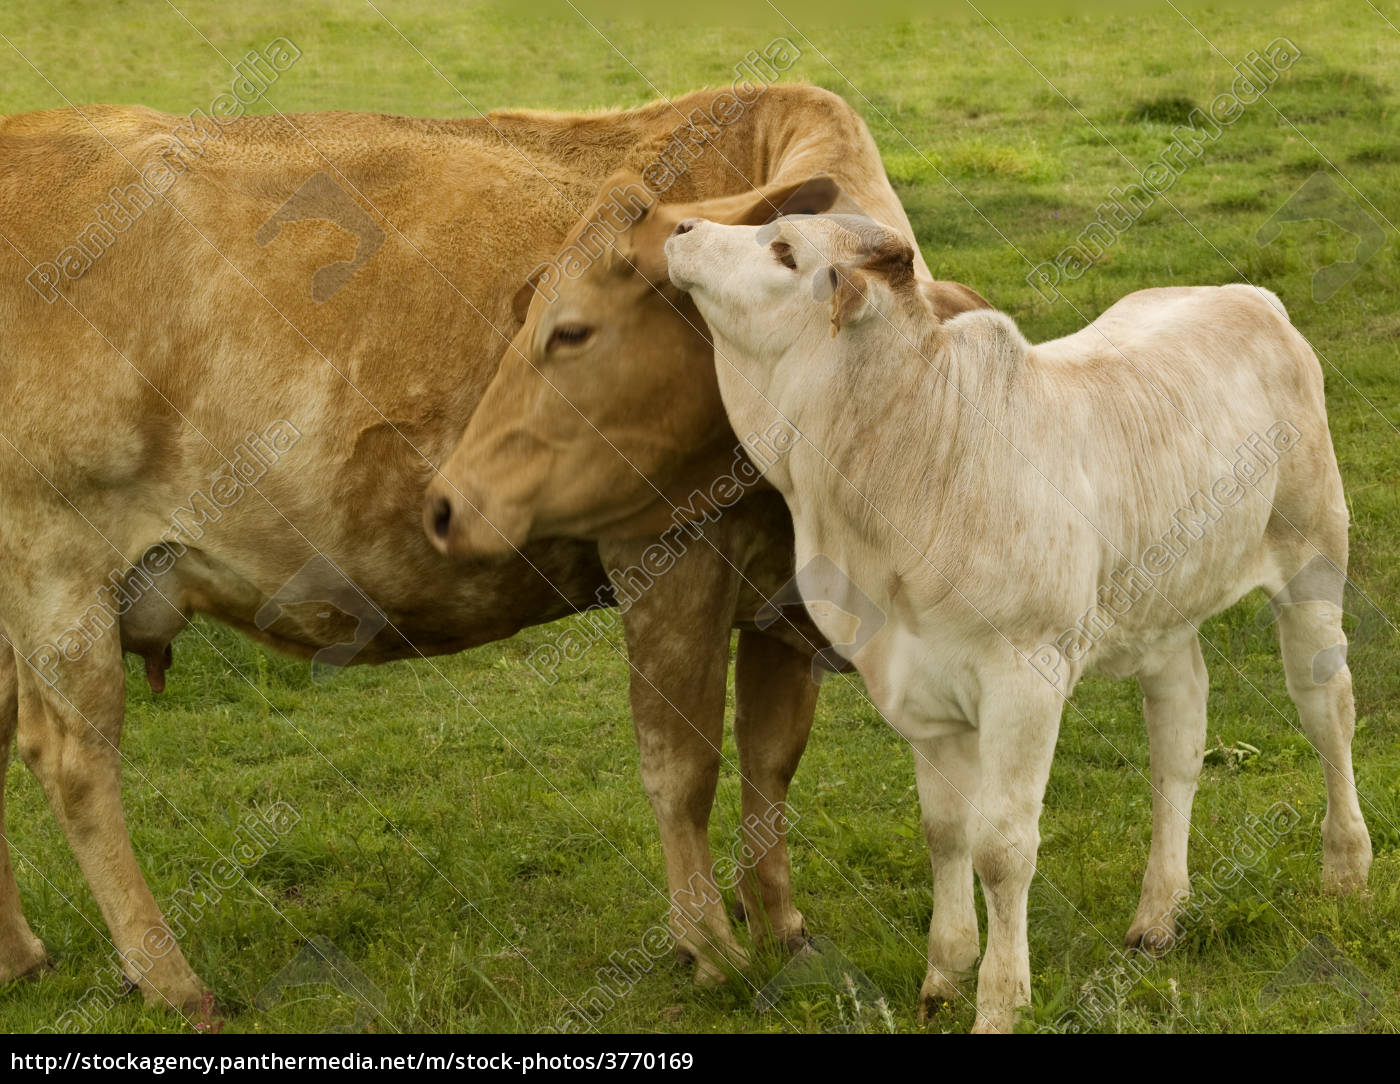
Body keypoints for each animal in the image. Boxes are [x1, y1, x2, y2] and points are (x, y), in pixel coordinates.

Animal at [0, 82, 896, 1019]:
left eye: (572, 330)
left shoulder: (787, 585)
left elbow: (772, 757)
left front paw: (785, 931)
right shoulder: (666, 547)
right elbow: (681, 763)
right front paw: (711, 947)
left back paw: (21, 955)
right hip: (54, 565)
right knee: (72, 759)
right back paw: (170, 979)